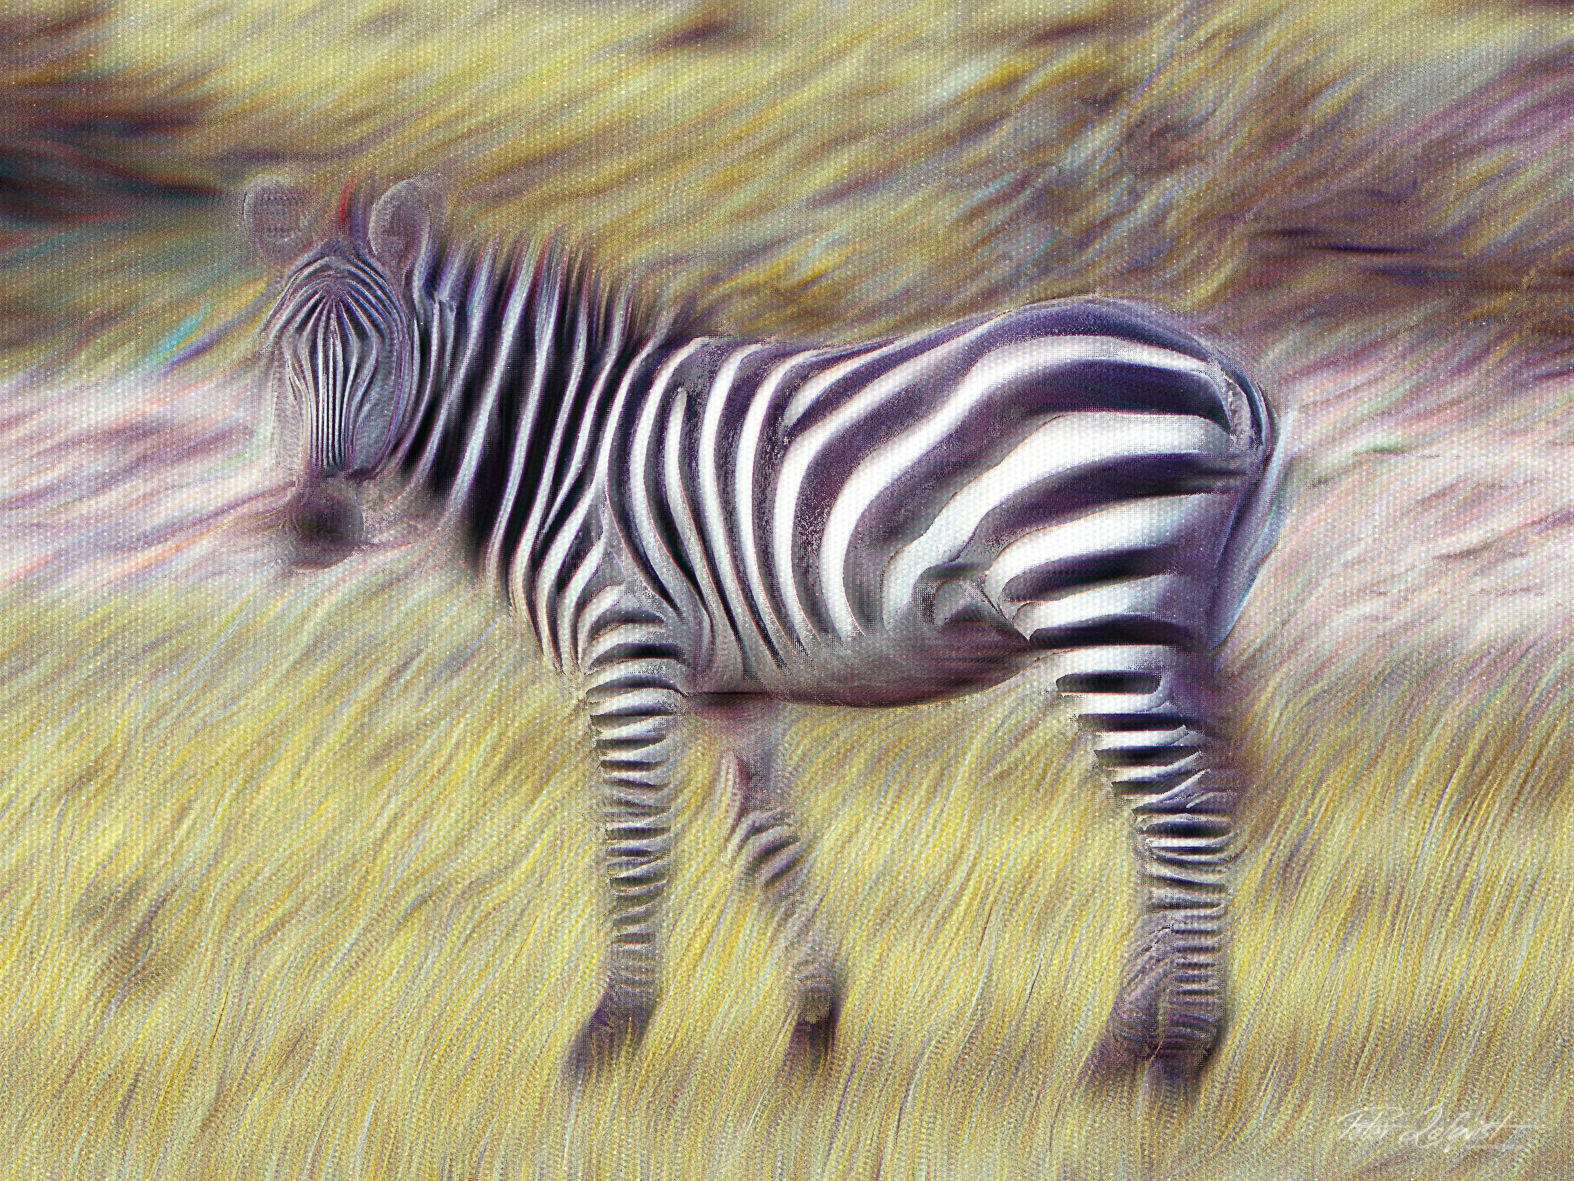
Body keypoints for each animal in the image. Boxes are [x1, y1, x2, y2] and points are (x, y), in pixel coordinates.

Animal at [243, 176, 1283, 1092]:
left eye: (383, 346)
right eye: (278, 352)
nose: (317, 525)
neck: (561, 449)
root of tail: (1218, 364)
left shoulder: (625, 646)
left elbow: (633, 841)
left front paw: (608, 1037)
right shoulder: (730, 685)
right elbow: (767, 843)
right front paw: (814, 1032)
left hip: (1094, 599)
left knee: (1178, 818)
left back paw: (1180, 1060)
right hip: (1184, 618)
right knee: (1189, 809)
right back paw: (1119, 1055)